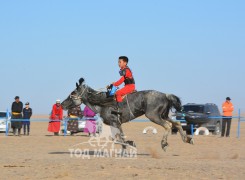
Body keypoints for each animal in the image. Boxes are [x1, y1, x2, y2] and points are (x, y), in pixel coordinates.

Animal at [60, 78, 193, 151]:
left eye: (73, 93)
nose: (62, 104)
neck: (102, 103)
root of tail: (166, 95)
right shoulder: (116, 124)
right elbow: (119, 138)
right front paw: (126, 147)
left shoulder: (115, 122)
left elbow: (118, 138)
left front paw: (129, 144)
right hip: (164, 115)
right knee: (176, 123)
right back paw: (187, 139)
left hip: (154, 116)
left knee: (168, 126)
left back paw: (164, 144)